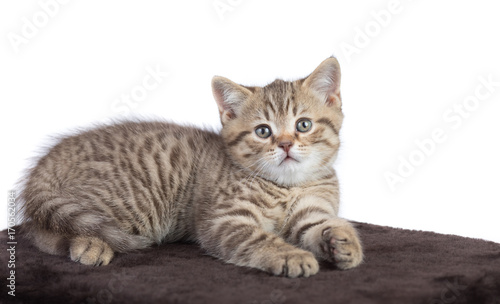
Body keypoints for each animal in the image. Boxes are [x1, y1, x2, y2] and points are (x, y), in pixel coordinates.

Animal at [19, 57, 364, 278]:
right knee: (40, 231)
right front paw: (290, 255)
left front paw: (344, 242)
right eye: (263, 131)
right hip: (127, 203)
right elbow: (257, 239)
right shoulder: (224, 219)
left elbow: (322, 225)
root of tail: (52, 157)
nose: (286, 144)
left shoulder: (312, 210)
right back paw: (89, 245)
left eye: (303, 125)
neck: (287, 185)